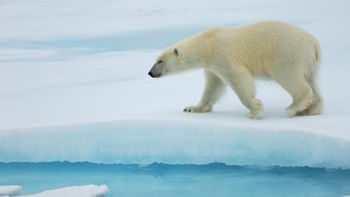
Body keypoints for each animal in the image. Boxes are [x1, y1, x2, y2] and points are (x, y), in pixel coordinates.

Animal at [148, 21, 322, 118]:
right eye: (155, 60)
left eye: (160, 61)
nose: (150, 73)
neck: (207, 44)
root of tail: (313, 43)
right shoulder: (212, 66)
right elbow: (213, 87)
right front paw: (192, 108)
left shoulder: (223, 55)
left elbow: (238, 78)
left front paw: (254, 110)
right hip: (309, 62)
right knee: (312, 82)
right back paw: (310, 110)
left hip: (285, 54)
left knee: (288, 76)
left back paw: (294, 107)